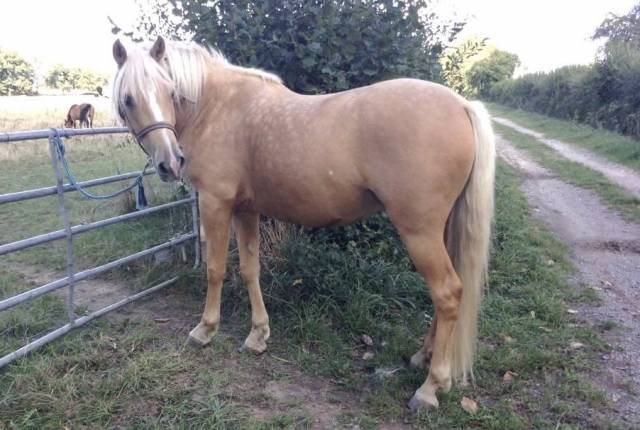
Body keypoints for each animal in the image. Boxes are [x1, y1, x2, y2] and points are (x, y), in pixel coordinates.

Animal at [111, 36, 495, 411]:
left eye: (170, 91)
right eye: (129, 99)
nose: (170, 163)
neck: (218, 108)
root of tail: (462, 105)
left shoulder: (215, 203)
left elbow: (215, 269)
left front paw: (205, 330)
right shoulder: (245, 210)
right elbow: (250, 269)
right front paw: (258, 335)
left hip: (419, 232)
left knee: (447, 292)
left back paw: (430, 387)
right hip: (439, 230)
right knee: (448, 292)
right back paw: (422, 357)